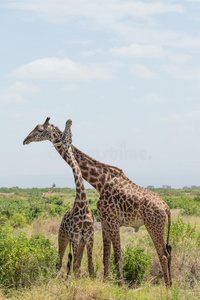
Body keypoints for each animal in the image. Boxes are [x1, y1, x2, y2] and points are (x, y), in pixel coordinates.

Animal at [22, 116, 171, 286]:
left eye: (40, 130)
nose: (25, 140)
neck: (100, 182)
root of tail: (166, 208)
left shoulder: (113, 220)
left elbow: (117, 255)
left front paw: (121, 284)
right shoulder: (105, 221)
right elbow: (106, 256)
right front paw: (106, 280)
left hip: (154, 225)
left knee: (163, 254)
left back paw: (167, 286)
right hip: (158, 226)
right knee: (167, 252)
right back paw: (171, 284)